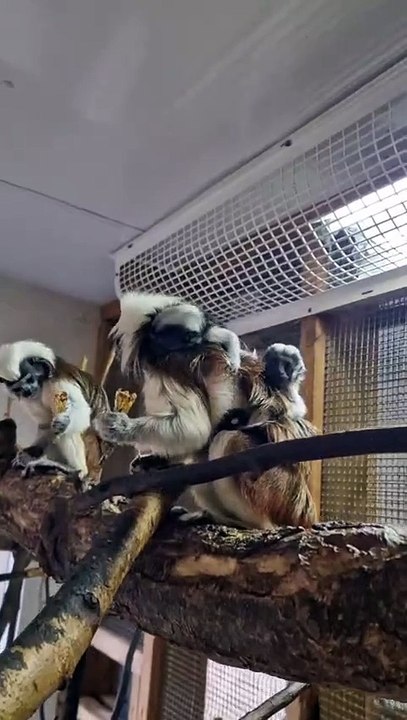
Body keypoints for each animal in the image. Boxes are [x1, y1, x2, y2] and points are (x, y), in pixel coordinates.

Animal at [0, 340, 110, 481]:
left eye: (29, 379)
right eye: (18, 388)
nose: (27, 390)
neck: (42, 384)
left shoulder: (58, 381)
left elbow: (81, 410)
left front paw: (63, 423)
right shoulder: (29, 399)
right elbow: (46, 424)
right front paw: (30, 453)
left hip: (92, 450)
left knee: (67, 431)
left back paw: (76, 469)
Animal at [93, 293, 317, 530]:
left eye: (184, 336)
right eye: (170, 335)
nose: (191, 342)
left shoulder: (170, 366)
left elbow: (194, 430)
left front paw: (118, 427)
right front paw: (153, 462)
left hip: (280, 491)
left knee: (226, 440)